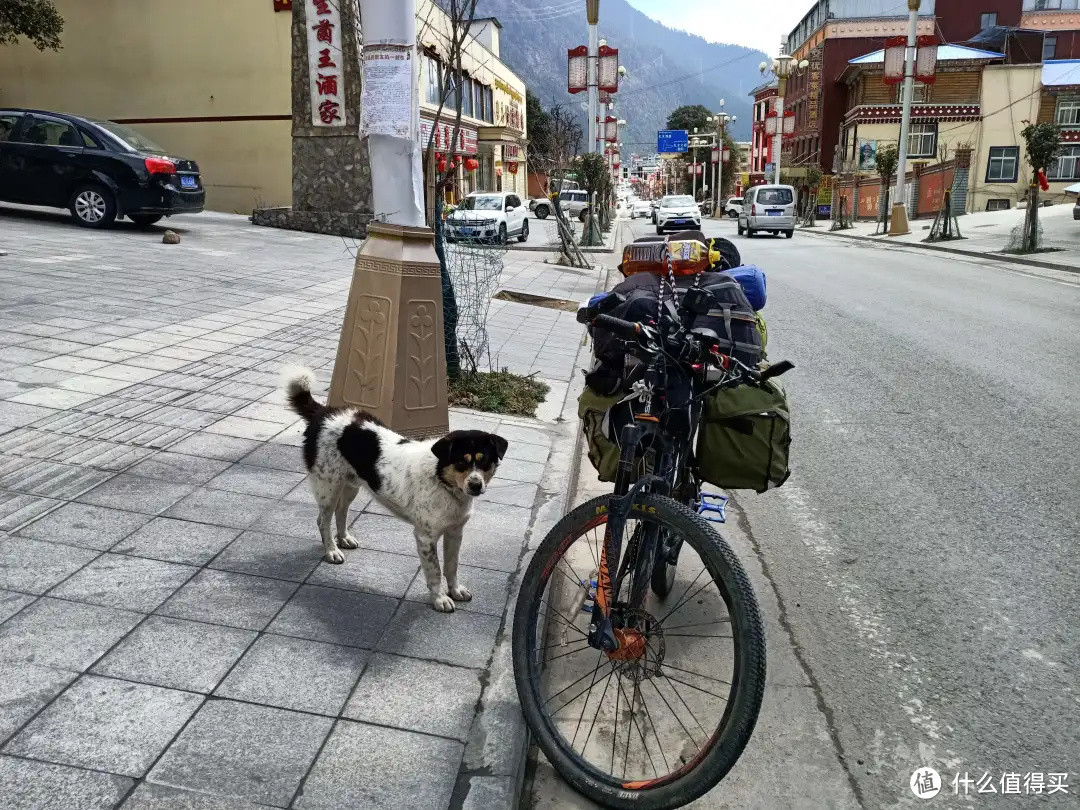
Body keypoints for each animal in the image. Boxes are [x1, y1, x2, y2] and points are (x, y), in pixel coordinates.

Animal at [285, 365, 507, 613]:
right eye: (461, 462)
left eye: (485, 461)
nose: (476, 485)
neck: (442, 482)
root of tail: (323, 412)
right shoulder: (425, 537)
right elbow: (435, 571)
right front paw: (440, 598)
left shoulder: (455, 532)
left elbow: (452, 566)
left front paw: (455, 590)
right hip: (328, 487)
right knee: (323, 520)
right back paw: (332, 550)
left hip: (350, 484)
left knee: (341, 512)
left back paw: (344, 539)